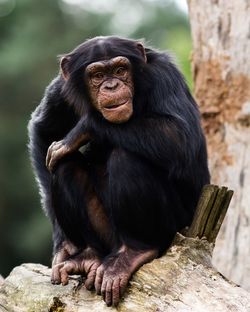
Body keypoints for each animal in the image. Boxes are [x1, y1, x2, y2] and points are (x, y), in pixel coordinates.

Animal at [28, 35, 210, 306]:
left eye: (120, 70)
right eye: (97, 75)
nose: (112, 86)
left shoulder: (165, 76)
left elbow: (181, 137)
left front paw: (83, 128)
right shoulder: (60, 89)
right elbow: (44, 130)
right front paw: (65, 245)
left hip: (174, 225)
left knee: (126, 158)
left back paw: (133, 254)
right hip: (107, 239)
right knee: (65, 165)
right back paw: (87, 255)